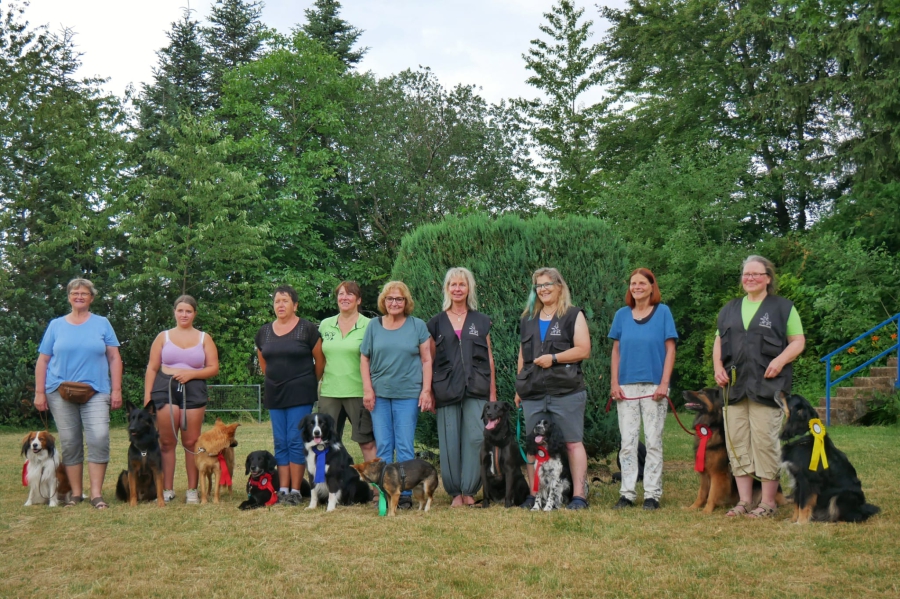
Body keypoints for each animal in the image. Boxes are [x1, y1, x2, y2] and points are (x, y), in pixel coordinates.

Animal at [780, 394, 880, 524]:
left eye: (790, 397)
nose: (778, 391)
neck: (803, 436)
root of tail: (862, 508)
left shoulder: (807, 480)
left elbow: (803, 504)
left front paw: (800, 523)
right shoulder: (797, 480)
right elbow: (797, 503)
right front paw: (793, 520)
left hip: (841, 496)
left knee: (852, 516)